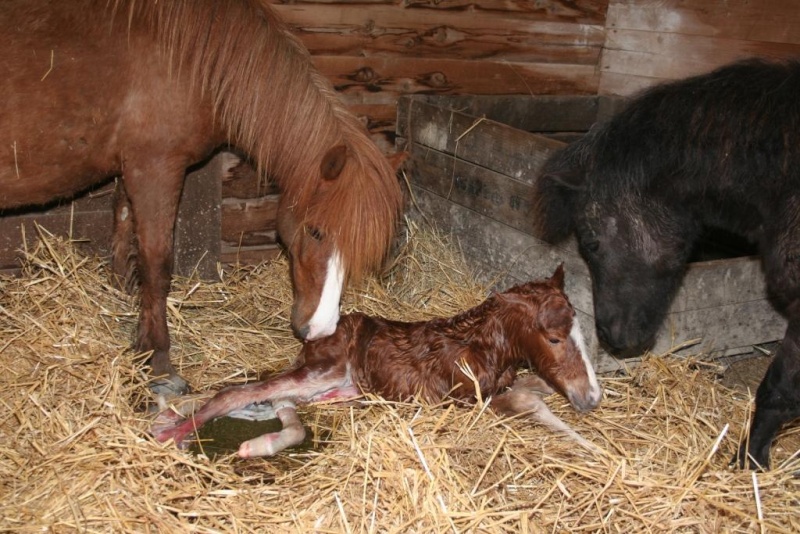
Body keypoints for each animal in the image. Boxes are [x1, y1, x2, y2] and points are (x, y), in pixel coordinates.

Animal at [152, 266, 600, 458]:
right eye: (554, 338)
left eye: (580, 330)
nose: (592, 398)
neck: (483, 346)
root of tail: (318, 333)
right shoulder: (470, 400)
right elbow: (532, 403)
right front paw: (593, 450)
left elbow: (538, 389)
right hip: (321, 370)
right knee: (236, 394)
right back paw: (171, 432)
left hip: (338, 384)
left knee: (281, 403)